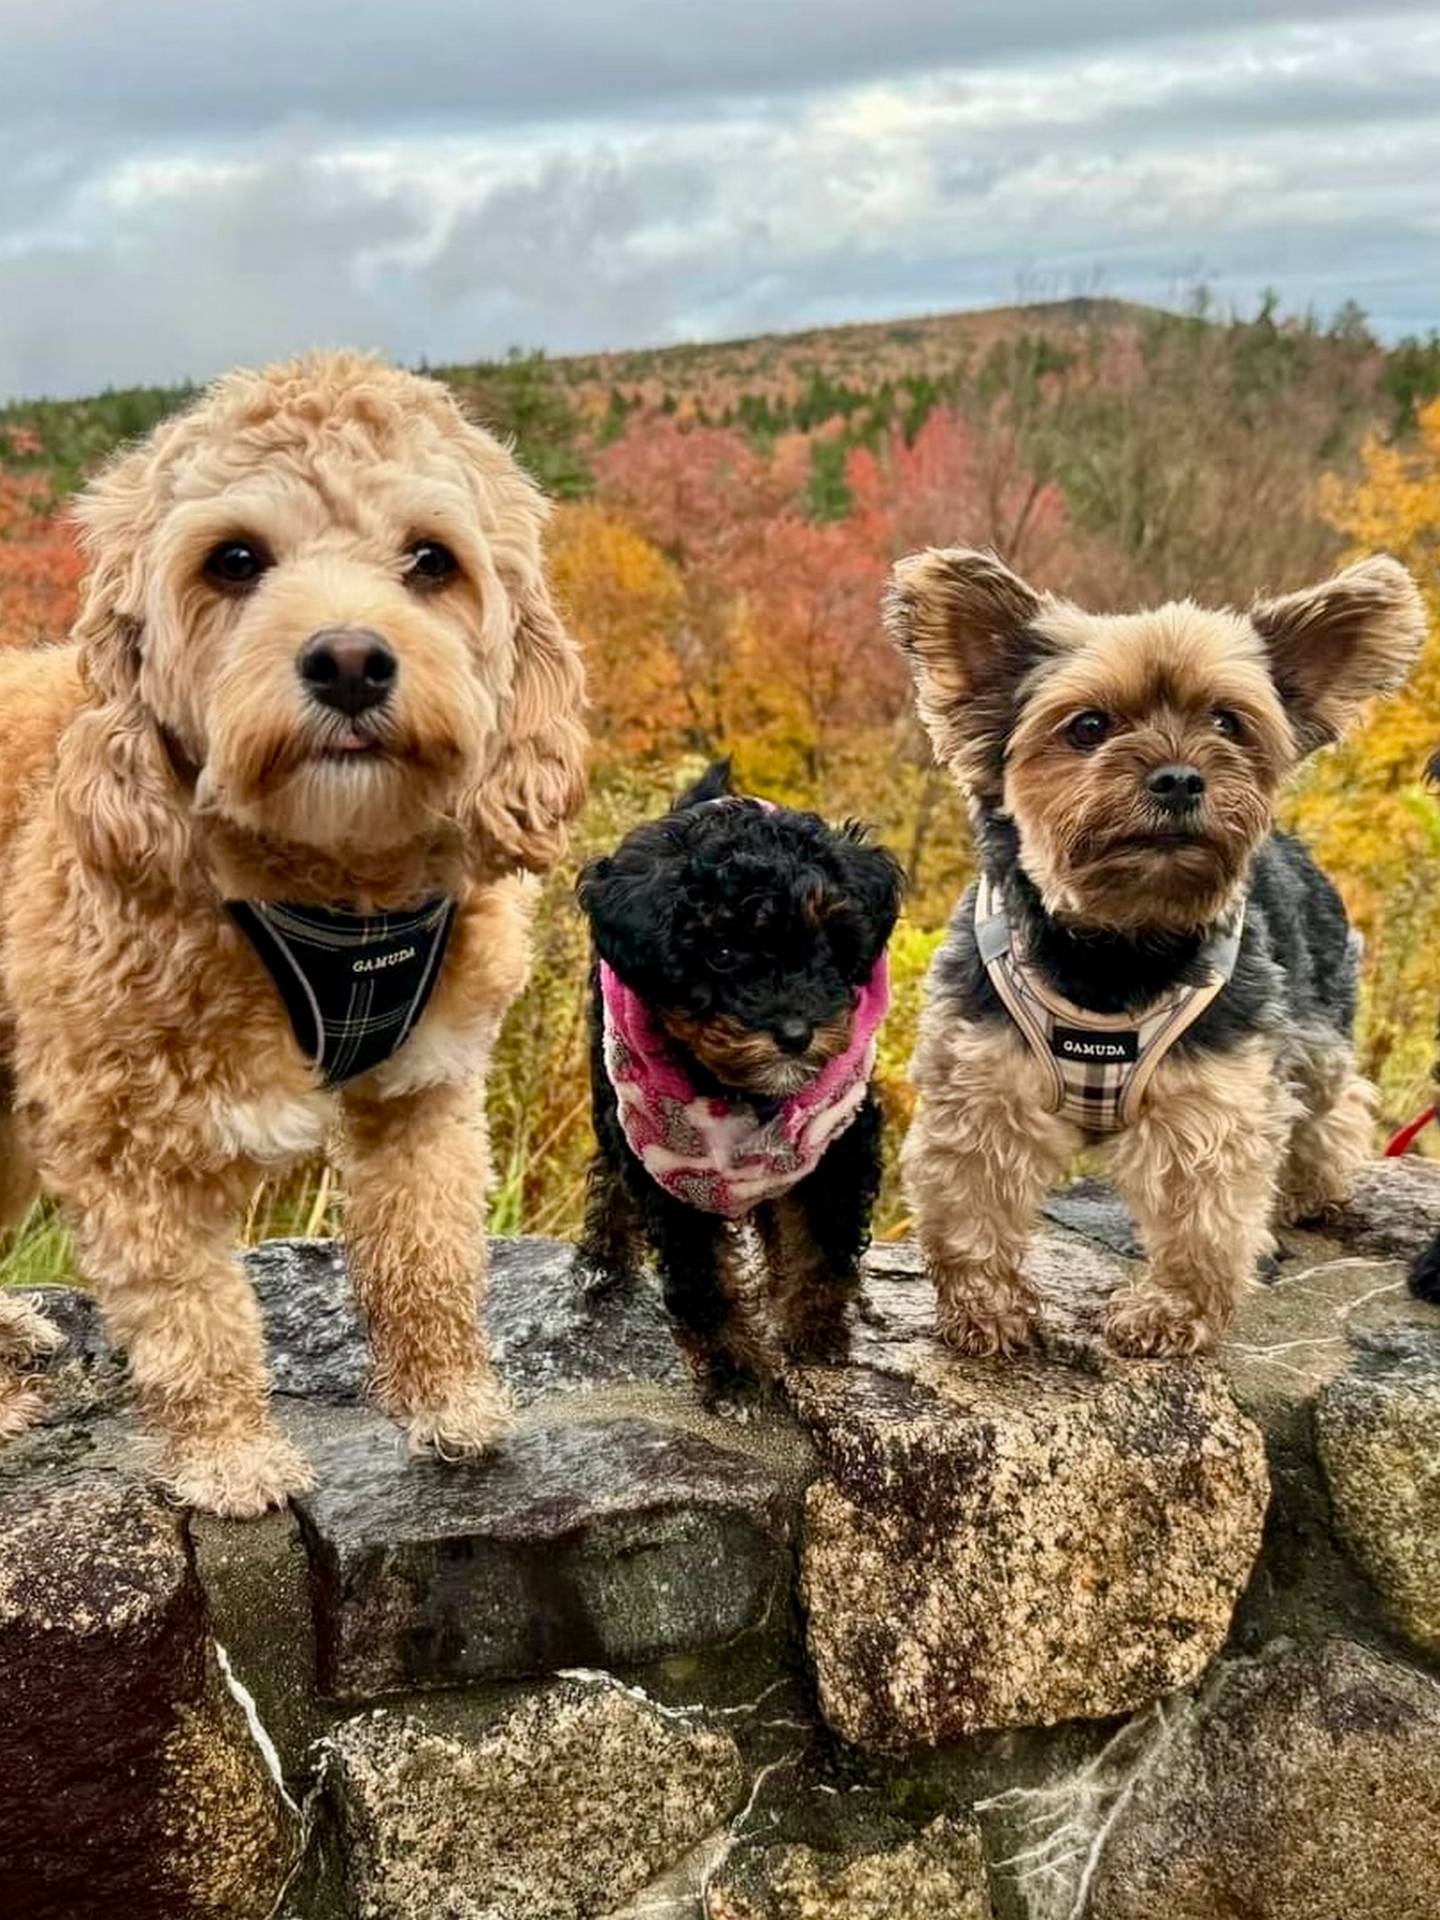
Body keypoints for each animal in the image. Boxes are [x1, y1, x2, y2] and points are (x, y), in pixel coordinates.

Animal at [0, 349, 587, 1512]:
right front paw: (228, 1455)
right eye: (234, 561)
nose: (351, 660)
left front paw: (449, 1400)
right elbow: (193, 1316)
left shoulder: (427, 1090)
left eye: (430, 560)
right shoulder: (123, 1139)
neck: (336, 893)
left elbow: (428, 1255)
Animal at [576, 756, 902, 1405]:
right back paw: (605, 1256)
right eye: (721, 953)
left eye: (827, 944)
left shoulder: (840, 1137)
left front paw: (815, 1332)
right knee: (610, 1173)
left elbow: (824, 1245)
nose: (795, 1032)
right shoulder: (669, 1167)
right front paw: (735, 1371)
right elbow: (703, 1281)